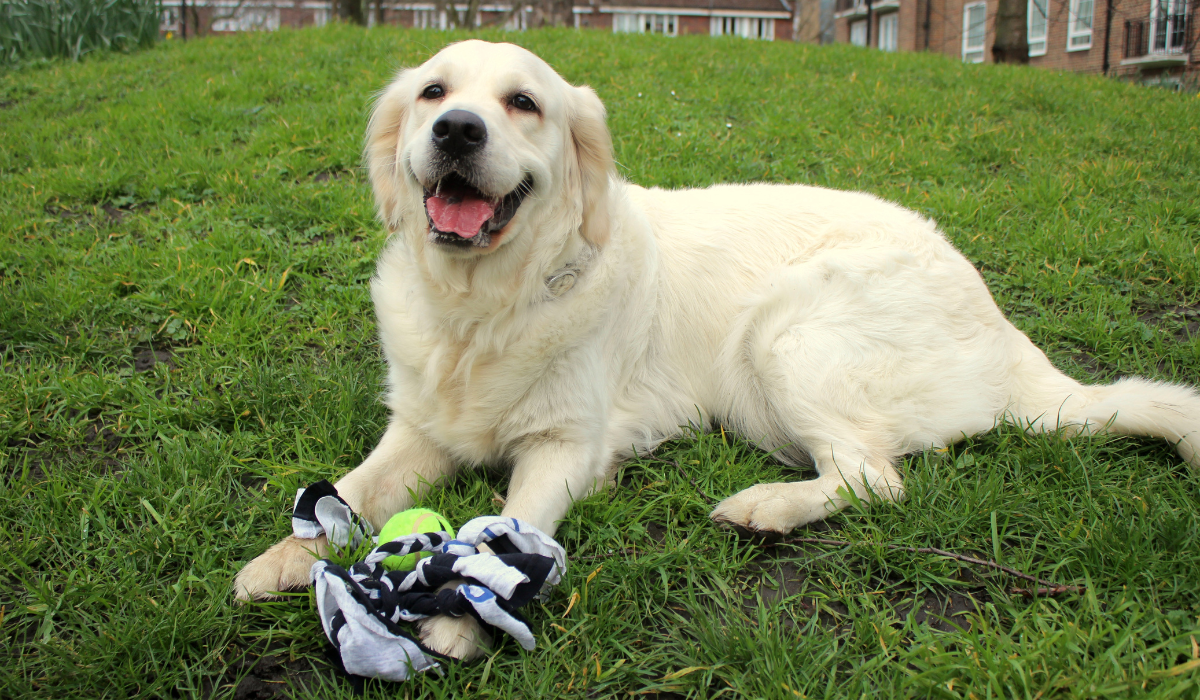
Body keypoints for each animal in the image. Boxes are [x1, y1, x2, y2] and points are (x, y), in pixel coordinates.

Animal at [231, 39, 1200, 662]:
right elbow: (352, 492)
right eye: (434, 93)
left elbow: (510, 527)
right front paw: (280, 559)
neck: (486, 304)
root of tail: (1009, 336)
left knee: (875, 478)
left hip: (784, 331)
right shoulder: (422, 428)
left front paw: (472, 610)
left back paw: (767, 507)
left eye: (523, 103)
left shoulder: (568, 446)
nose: (458, 131)